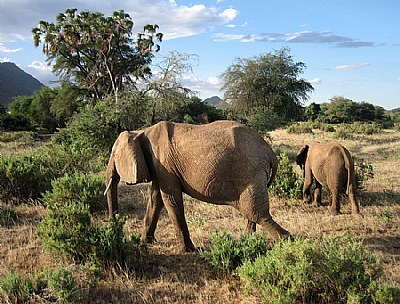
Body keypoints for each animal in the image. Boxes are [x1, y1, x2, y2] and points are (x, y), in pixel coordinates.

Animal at [104, 120, 290, 252]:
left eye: (113, 153)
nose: (114, 225)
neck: (141, 131)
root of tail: (270, 153)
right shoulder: (159, 166)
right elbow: (156, 199)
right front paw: (145, 243)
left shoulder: (164, 164)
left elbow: (170, 198)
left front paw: (186, 250)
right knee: (252, 213)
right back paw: (246, 242)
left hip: (250, 172)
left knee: (257, 213)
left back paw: (287, 243)